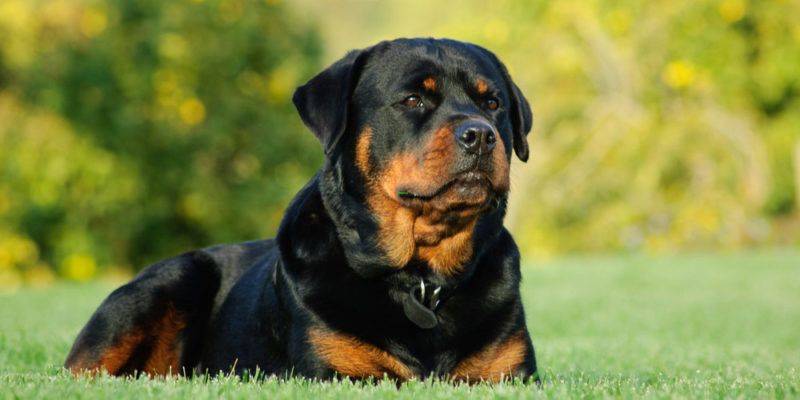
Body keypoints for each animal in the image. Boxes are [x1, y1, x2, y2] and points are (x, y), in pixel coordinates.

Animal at [64, 38, 536, 384]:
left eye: (493, 103)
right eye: (413, 100)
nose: (480, 134)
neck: (421, 280)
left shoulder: (509, 375)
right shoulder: (336, 371)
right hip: (167, 282)